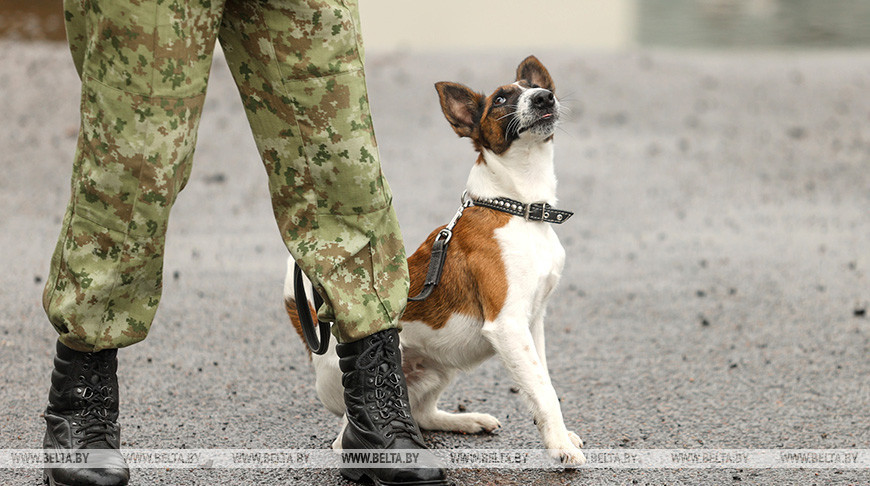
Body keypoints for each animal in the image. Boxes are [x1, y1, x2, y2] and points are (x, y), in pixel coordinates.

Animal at [286, 55, 584, 466]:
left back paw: (465, 420)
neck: (518, 207)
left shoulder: (533, 321)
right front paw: (559, 446)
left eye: (534, 88)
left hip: (438, 370)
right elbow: (542, 389)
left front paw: (558, 435)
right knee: (346, 433)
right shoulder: (507, 325)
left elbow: (542, 384)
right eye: (501, 99)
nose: (544, 97)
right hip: (375, 371)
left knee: (423, 414)